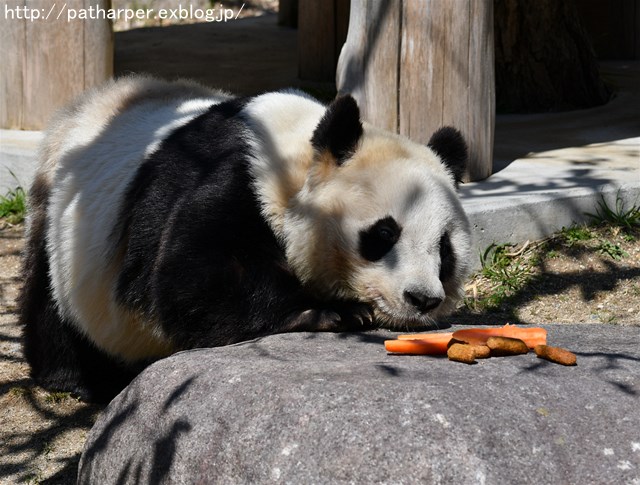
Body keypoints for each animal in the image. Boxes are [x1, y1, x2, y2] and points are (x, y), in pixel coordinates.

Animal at [18, 74, 470, 400]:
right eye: (384, 233)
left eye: (444, 249)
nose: (422, 298)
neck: (293, 157)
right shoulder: (231, 177)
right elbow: (191, 281)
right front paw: (331, 312)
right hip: (64, 220)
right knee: (52, 301)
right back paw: (75, 379)